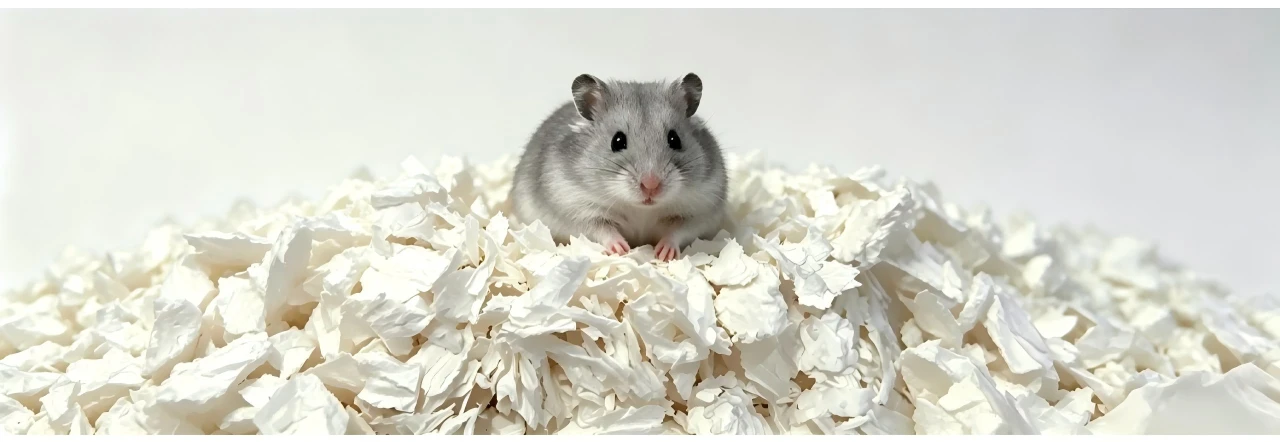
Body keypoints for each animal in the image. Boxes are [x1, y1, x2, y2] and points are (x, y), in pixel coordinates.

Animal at [510, 73, 728, 262]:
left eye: (675, 139)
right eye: (617, 141)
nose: (651, 186)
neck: (641, 209)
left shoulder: (700, 208)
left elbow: (678, 231)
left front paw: (663, 253)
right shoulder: (575, 206)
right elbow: (601, 229)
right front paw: (622, 249)